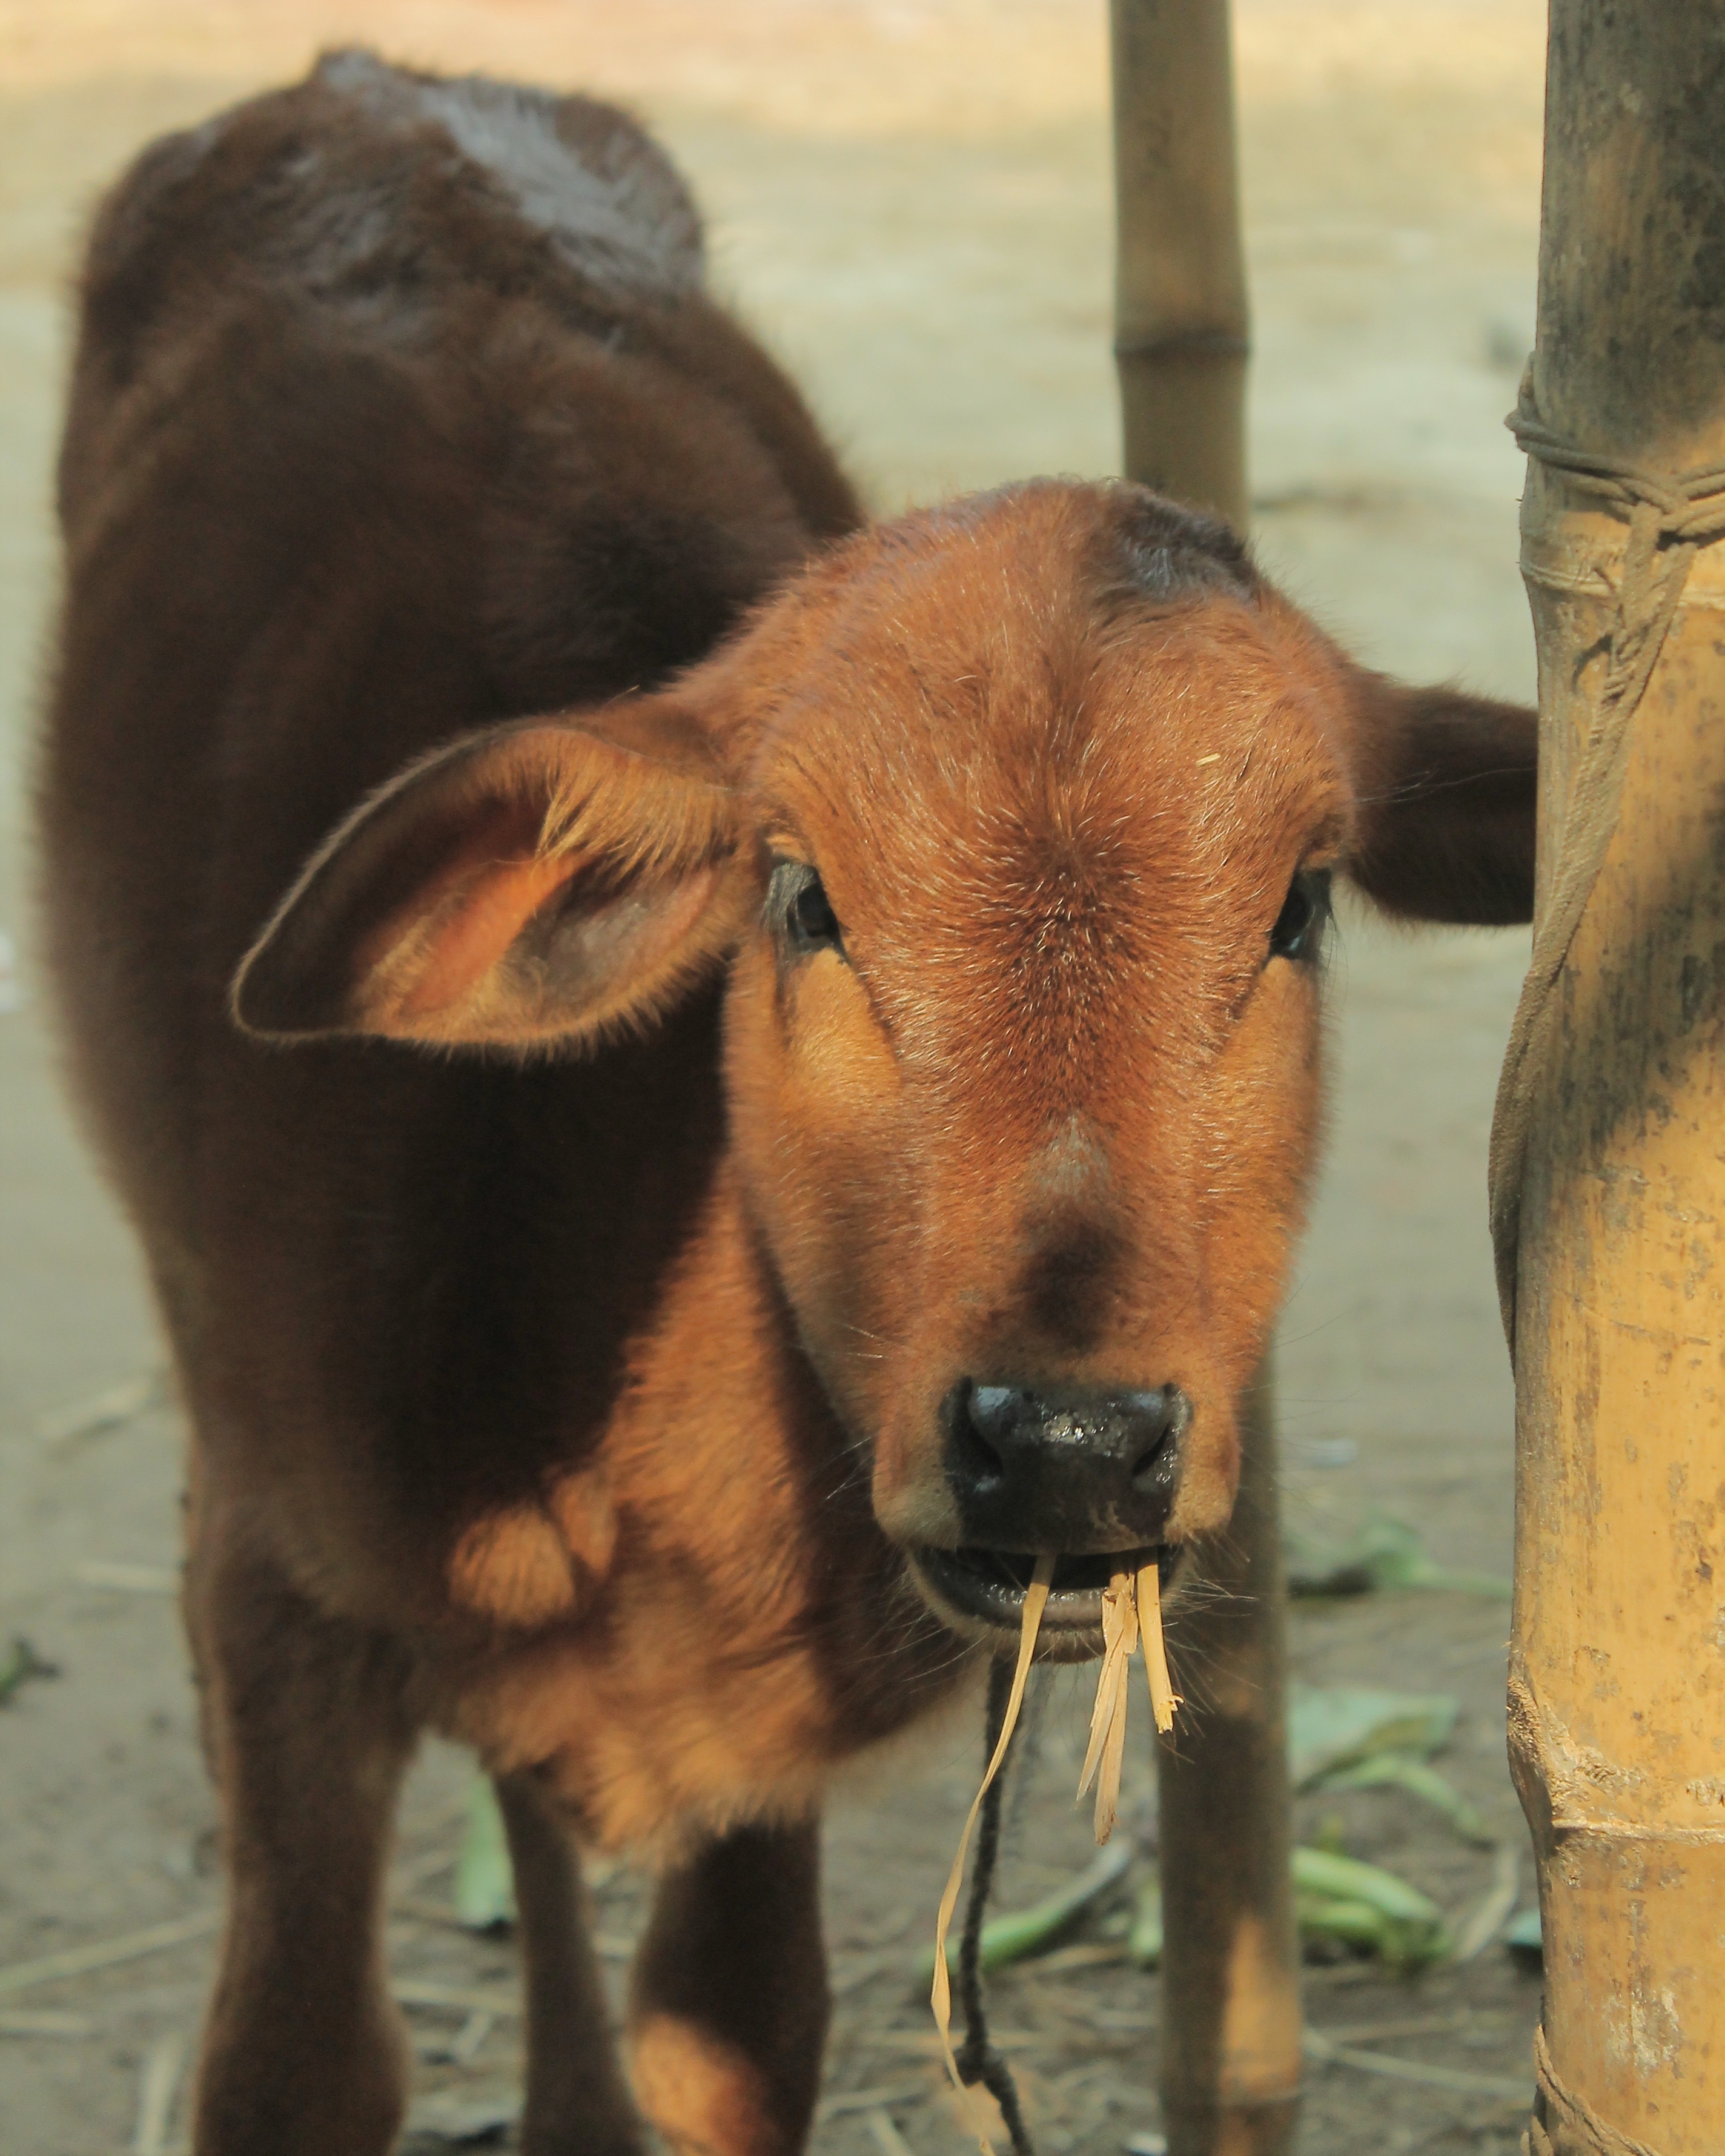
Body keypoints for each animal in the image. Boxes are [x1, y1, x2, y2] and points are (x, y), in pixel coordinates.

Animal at [37, 49, 1537, 2156]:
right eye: (804, 894)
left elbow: (736, 2036)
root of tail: (362, 79)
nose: (1065, 1443)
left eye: (1301, 904)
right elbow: (296, 2063)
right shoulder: (276, 1591)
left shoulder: (761, 1768)